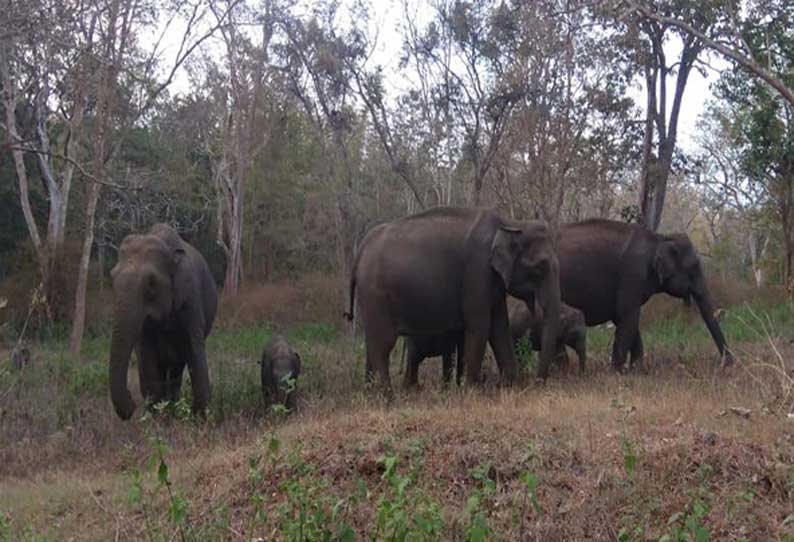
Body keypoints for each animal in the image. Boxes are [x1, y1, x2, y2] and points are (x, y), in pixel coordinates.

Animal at [107, 223, 217, 422]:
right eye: (112, 277)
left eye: (151, 283)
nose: (131, 405)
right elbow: (147, 353)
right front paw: (156, 417)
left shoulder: (190, 297)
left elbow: (193, 347)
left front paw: (199, 417)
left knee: (177, 366)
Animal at [344, 207, 560, 396]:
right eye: (540, 268)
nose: (538, 384)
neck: (511, 223)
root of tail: (360, 250)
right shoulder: (477, 270)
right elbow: (480, 325)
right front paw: (473, 392)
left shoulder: (493, 281)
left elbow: (499, 327)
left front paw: (508, 386)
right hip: (376, 296)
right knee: (382, 345)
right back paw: (388, 398)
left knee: (372, 343)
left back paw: (372, 395)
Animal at [556, 219, 732, 372]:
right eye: (694, 266)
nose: (727, 364)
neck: (660, 238)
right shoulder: (633, 275)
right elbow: (628, 317)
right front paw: (617, 372)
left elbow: (626, 321)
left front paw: (636, 370)